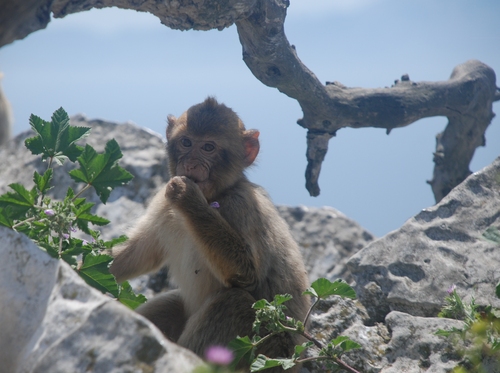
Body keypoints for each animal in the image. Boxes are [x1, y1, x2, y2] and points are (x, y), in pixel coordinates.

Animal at [110, 96, 308, 370]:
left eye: (208, 147)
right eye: (186, 142)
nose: (190, 164)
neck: (215, 194)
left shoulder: (242, 206)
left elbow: (248, 274)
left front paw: (188, 198)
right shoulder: (163, 201)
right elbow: (140, 254)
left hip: (267, 351)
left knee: (232, 302)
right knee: (170, 305)